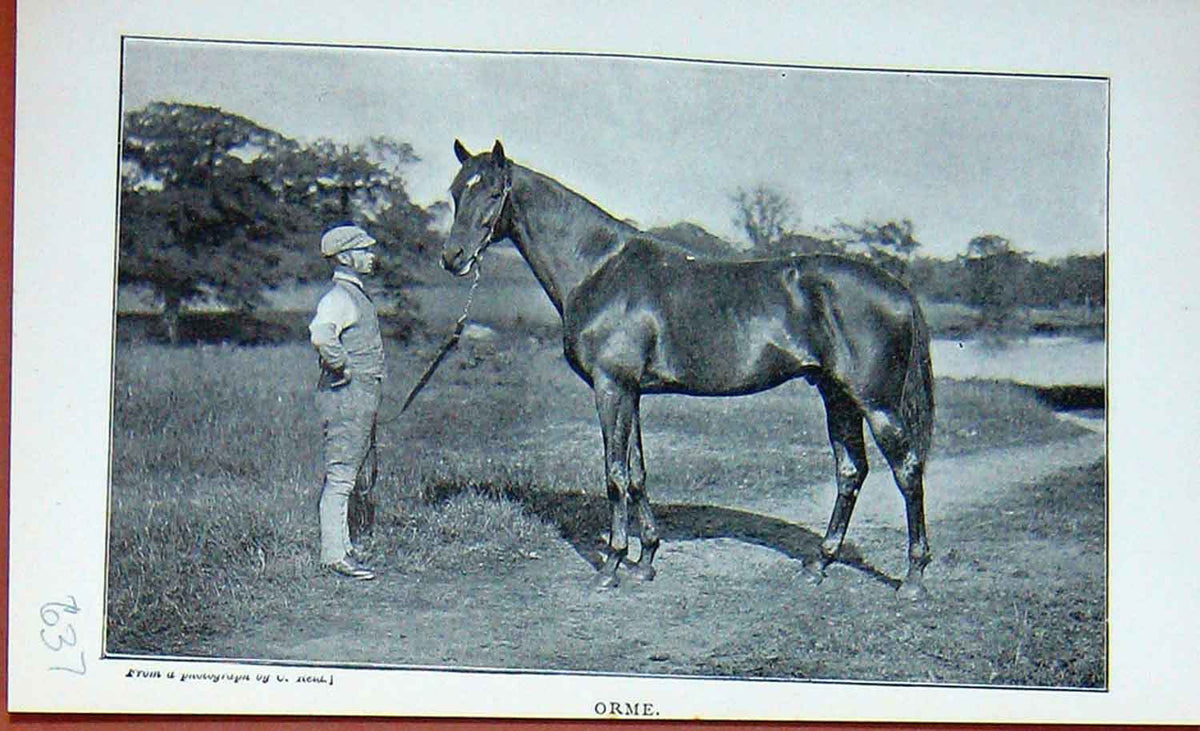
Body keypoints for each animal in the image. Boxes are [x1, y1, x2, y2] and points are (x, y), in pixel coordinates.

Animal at [442, 140, 935, 600]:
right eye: (455, 192)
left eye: (493, 192)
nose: (453, 257)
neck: (599, 268)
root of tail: (899, 290)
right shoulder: (632, 392)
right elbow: (637, 474)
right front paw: (645, 560)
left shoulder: (610, 387)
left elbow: (614, 474)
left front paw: (611, 565)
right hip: (837, 396)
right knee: (851, 471)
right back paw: (819, 563)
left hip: (877, 403)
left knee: (907, 469)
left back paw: (912, 578)